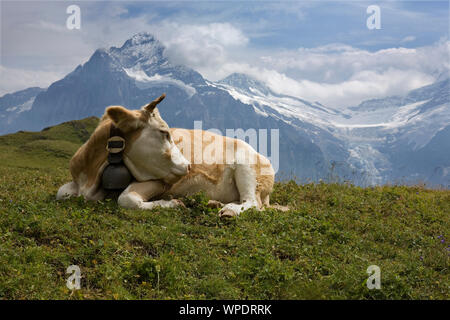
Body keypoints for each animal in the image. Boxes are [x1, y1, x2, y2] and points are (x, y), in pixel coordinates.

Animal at [56, 94, 282, 216]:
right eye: (164, 132)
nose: (189, 166)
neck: (91, 175)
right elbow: (61, 192)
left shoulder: (160, 181)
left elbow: (126, 198)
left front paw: (172, 203)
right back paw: (215, 203)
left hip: (246, 168)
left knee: (252, 203)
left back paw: (229, 211)